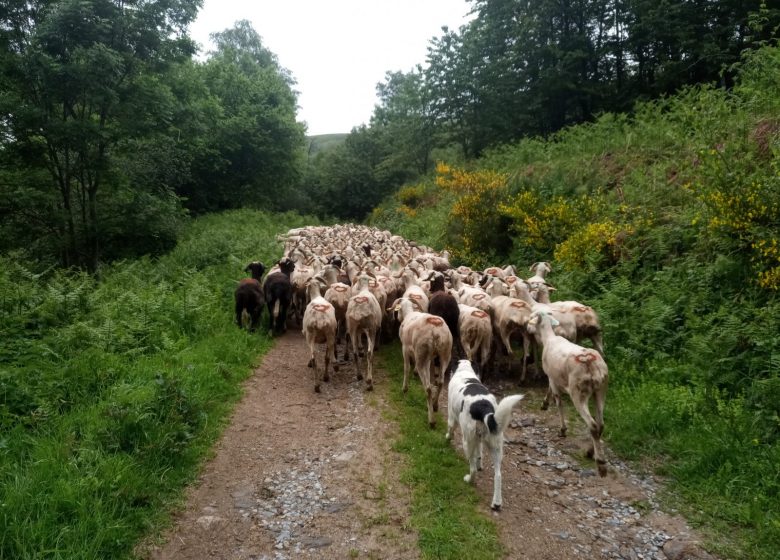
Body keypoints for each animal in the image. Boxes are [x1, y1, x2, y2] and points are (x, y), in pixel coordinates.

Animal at [444, 358, 524, 512]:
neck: (465, 371)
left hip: (467, 440)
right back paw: (496, 503)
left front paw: (447, 439)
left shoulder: (451, 415)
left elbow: (450, 428)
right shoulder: (479, 438)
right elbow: (479, 452)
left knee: (473, 469)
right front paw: (480, 462)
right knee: (498, 475)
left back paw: (469, 480)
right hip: (496, 445)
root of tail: (484, 408)